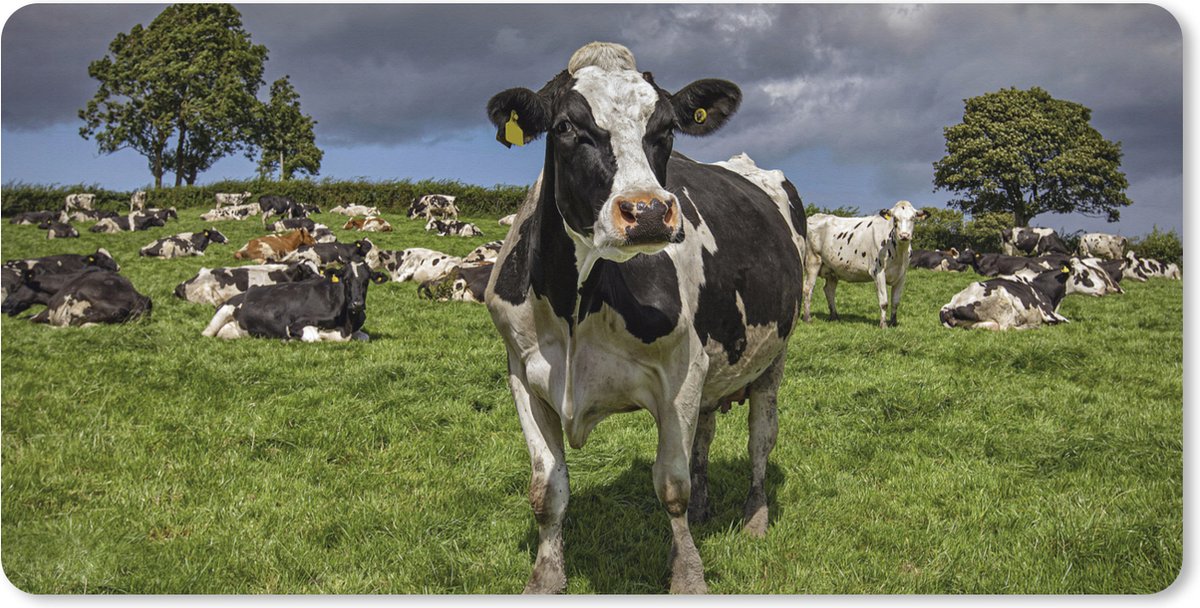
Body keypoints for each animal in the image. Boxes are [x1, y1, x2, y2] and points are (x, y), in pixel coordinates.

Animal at [201, 261, 387, 342]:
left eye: (366, 281)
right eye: (346, 280)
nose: (357, 304)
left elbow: (364, 337)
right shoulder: (296, 324)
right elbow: (314, 337)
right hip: (222, 313)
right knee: (206, 334)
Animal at [483, 42, 807, 593]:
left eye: (667, 129)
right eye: (566, 126)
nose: (649, 211)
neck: (576, 306)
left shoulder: (681, 371)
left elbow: (671, 486)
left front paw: (688, 577)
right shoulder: (524, 374)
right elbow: (547, 489)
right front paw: (545, 578)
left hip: (774, 357)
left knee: (761, 439)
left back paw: (756, 517)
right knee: (704, 435)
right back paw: (703, 509)